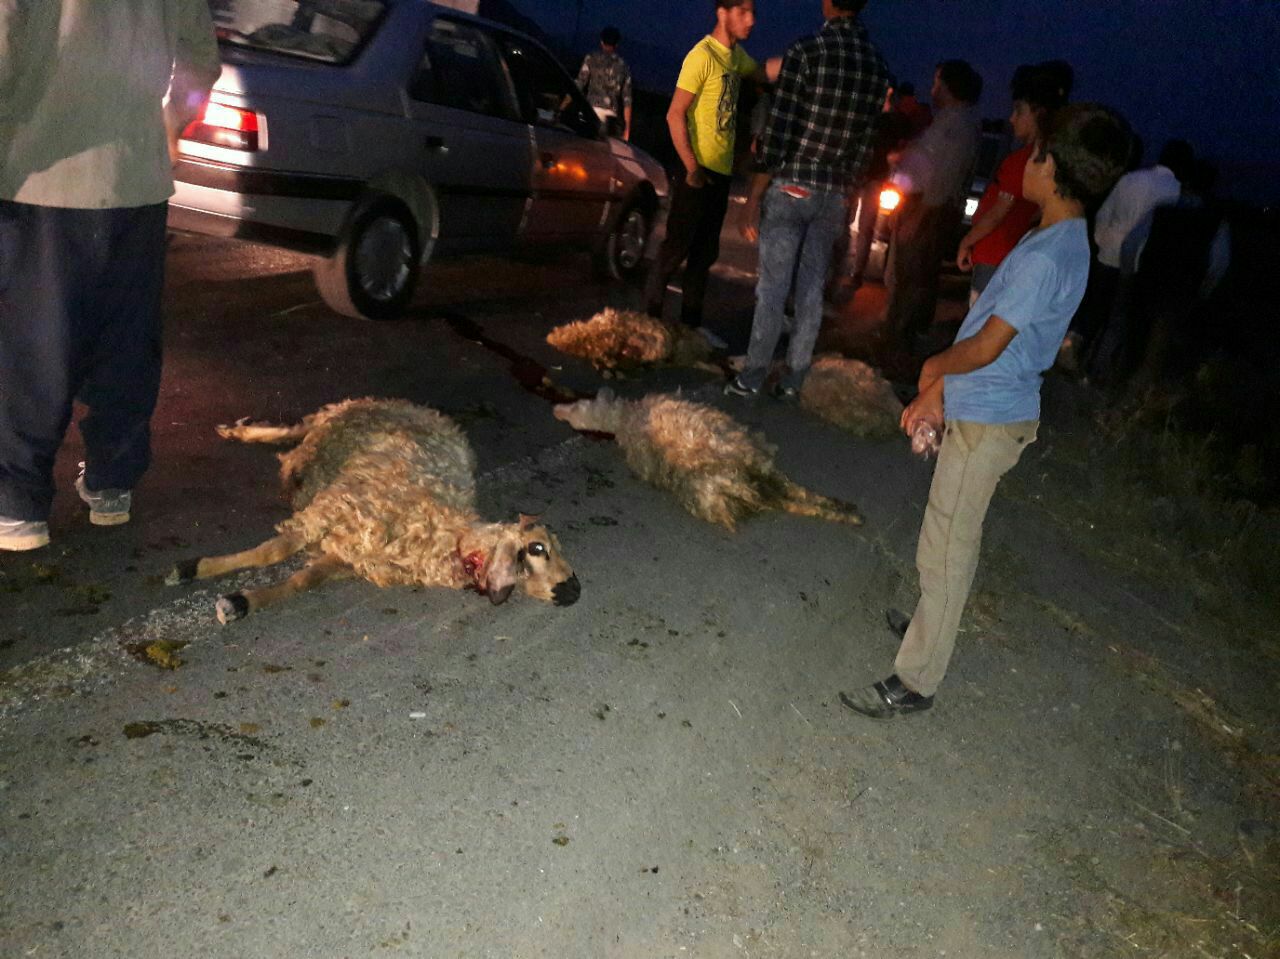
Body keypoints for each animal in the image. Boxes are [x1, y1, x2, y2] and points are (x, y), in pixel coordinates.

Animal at [165, 394, 581, 622]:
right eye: (538, 548)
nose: (573, 591)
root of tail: (418, 407)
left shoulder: (349, 558)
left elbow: (303, 581)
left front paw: (242, 602)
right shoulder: (332, 509)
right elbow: (273, 552)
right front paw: (193, 569)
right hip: (332, 425)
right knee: (292, 433)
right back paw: (246, 435)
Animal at [550, 389, 860, 530]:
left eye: (577, 405)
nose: (557, 410)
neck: (625, 419)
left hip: (756, 472)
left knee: (796, 495)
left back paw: (844, 510)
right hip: (757, 476)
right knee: (795, 497)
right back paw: (845, 512)